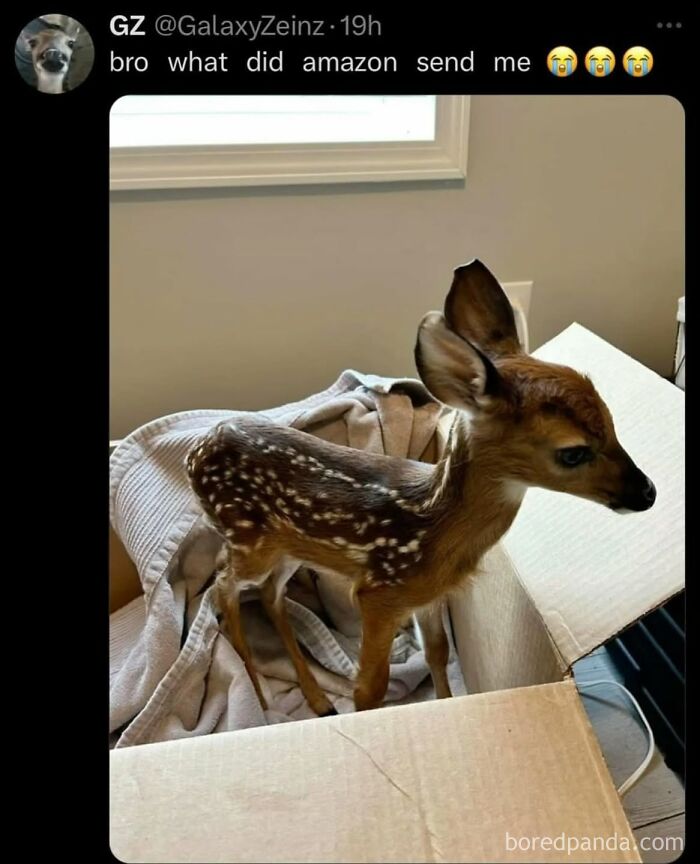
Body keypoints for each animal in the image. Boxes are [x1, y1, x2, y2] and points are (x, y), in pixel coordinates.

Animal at [187, 259, 656, 716]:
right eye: (573, 452)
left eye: (612, 421)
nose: (648, 492)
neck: (435, 529)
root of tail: (198, 449)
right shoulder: (379, 593)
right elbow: (370, 689)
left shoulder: (429, 597)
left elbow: (437, 652)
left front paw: (447, 703)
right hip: (248, 538)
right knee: (221, 587)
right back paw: (262, 695)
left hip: (290, 548)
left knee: (268, 594)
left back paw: (318, 699)